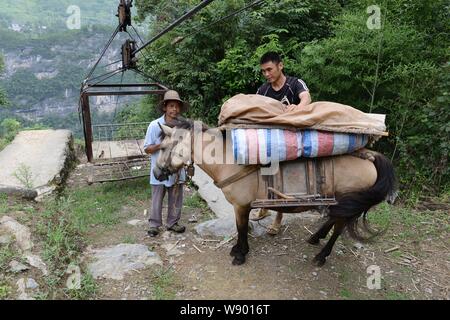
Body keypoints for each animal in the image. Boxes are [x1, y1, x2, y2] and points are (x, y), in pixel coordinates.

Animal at [153, 119, 396, 266]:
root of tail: (371, 157)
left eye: (164, 147)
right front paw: (237, 250)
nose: (156, 172)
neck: (230, 160)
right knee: (333, 221)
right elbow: (241, 228)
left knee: (338, 227)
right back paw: (315, 238)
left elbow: (241, 228)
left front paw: (240, 253)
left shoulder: (242, 205)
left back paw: (321, 255)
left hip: (349, 202)